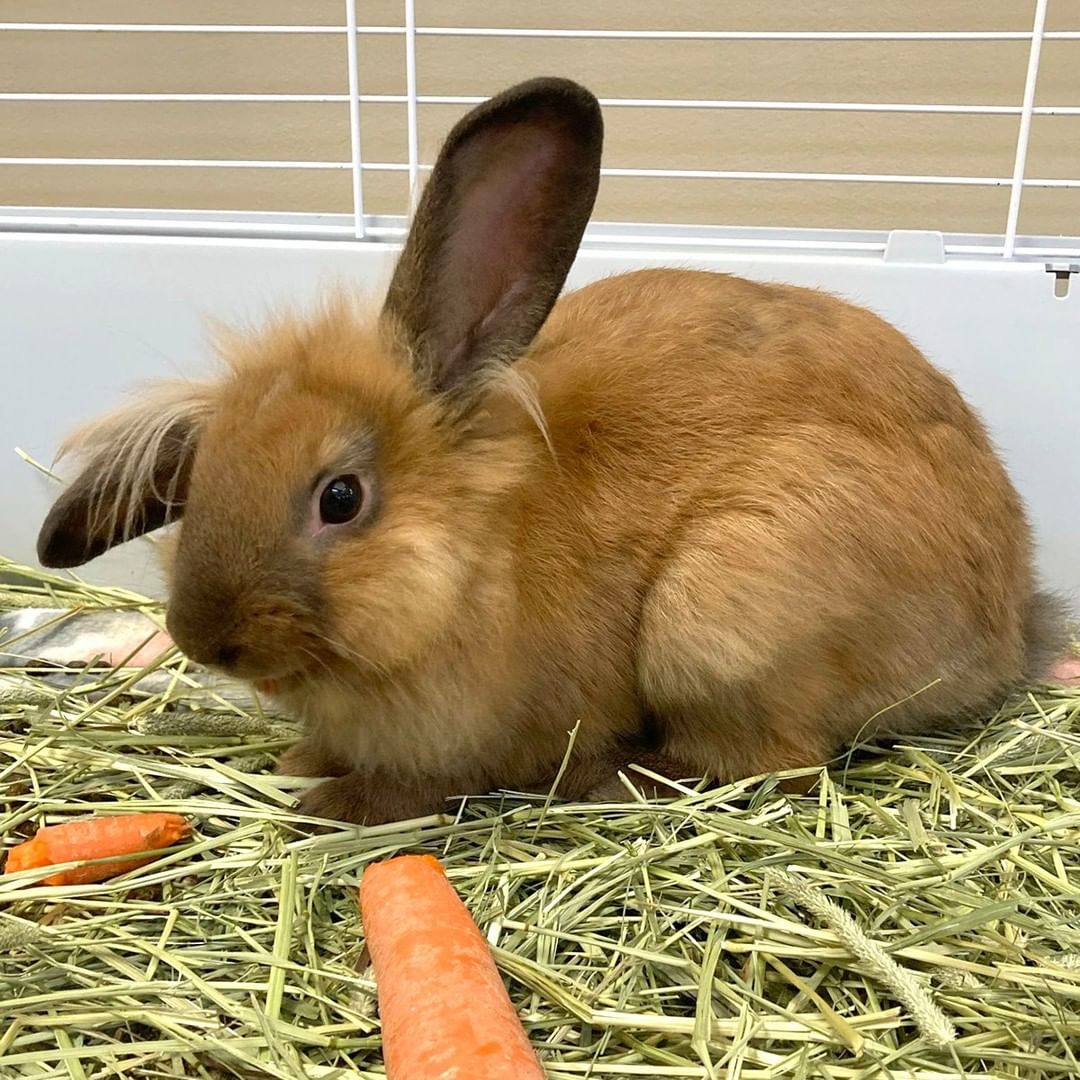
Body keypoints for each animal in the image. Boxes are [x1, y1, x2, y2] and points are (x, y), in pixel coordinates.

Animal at [38, 76, 1067, 820]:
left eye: (341, 497)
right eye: (205, 471)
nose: (200, 637)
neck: (475, 562)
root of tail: (1006, 628)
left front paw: (327, 797)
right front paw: (300, 760)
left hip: (718, 618)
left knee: (770, 765)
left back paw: (610, 781)